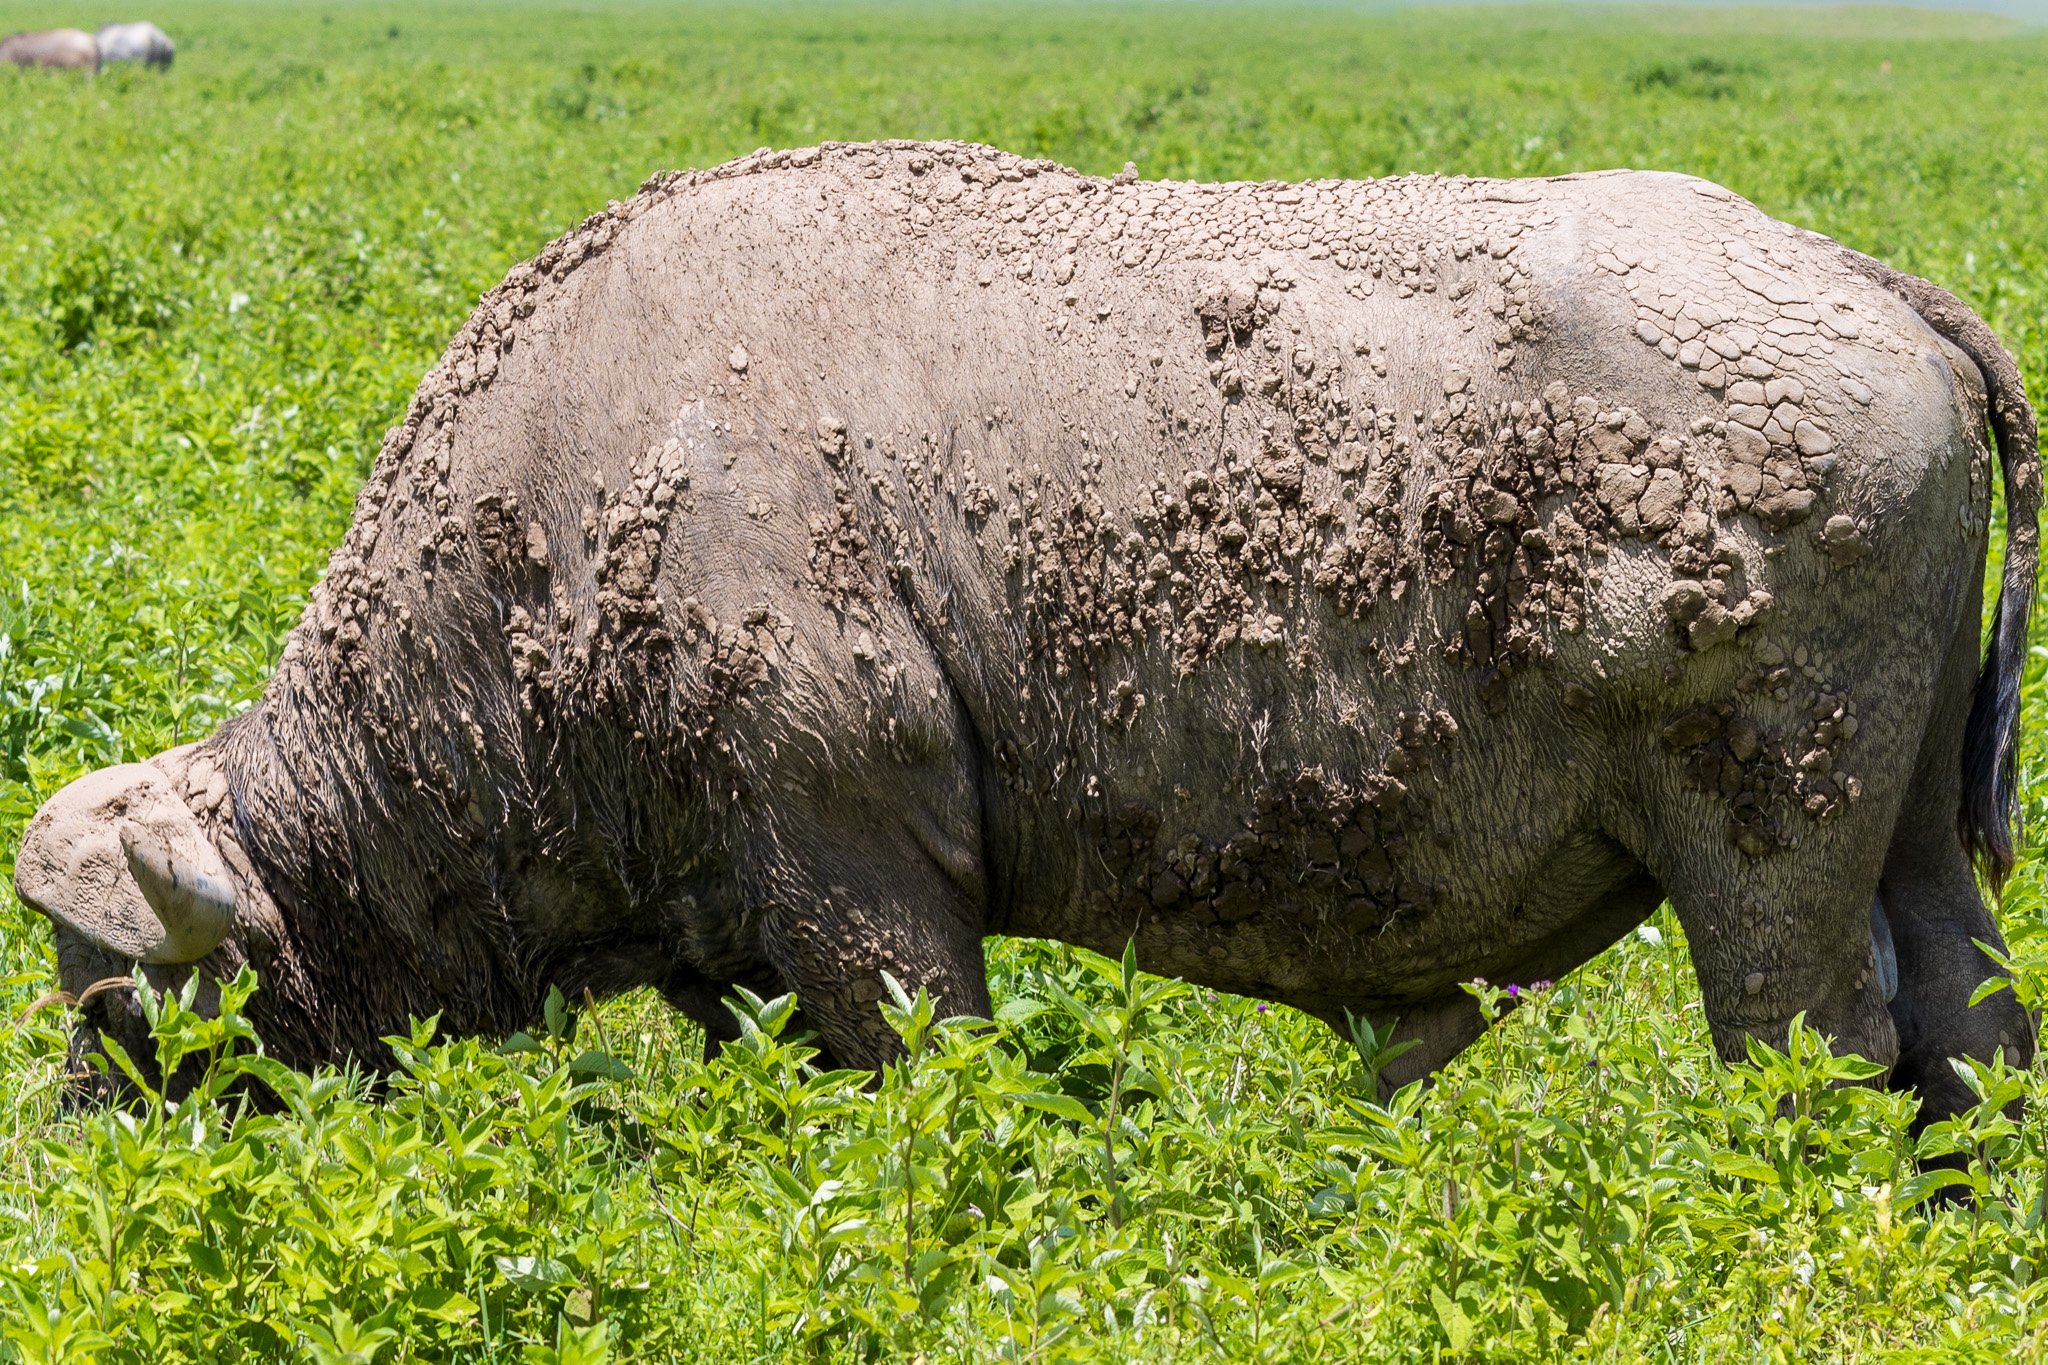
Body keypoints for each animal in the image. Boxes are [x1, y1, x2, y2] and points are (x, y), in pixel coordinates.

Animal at [12, 141, 2031, 1129]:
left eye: (115, 1003)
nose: (87, 1152)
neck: (563, 517)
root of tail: (1863, 287)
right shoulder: (736, 944)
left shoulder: (867, 898)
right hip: (1916, 841)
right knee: (1968, 1039)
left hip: (1762, 858)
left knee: (1811, 1055)